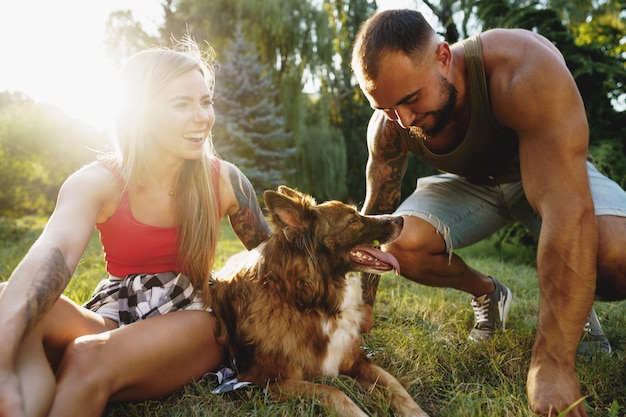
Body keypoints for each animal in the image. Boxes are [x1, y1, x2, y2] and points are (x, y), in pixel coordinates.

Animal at [207, 187, 426, 414]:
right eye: (353, 220)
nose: (401, 219)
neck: (311, 303)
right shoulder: (268, 379)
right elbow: (332, 392)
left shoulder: (356, 359)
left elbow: (395, 386)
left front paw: (417, 412)